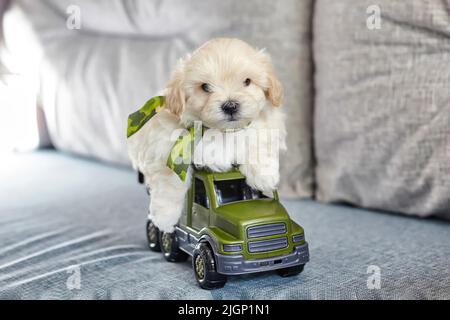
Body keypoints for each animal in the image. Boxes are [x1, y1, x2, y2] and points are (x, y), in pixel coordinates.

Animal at [128, 38, 286, 232]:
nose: (230, 105)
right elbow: (170, 182)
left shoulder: (263, 127)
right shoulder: (165, 146)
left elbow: (259, 143)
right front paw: (165, 217)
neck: (222, 131)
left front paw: (265, 176)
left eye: (247, 81)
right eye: (205, 87)